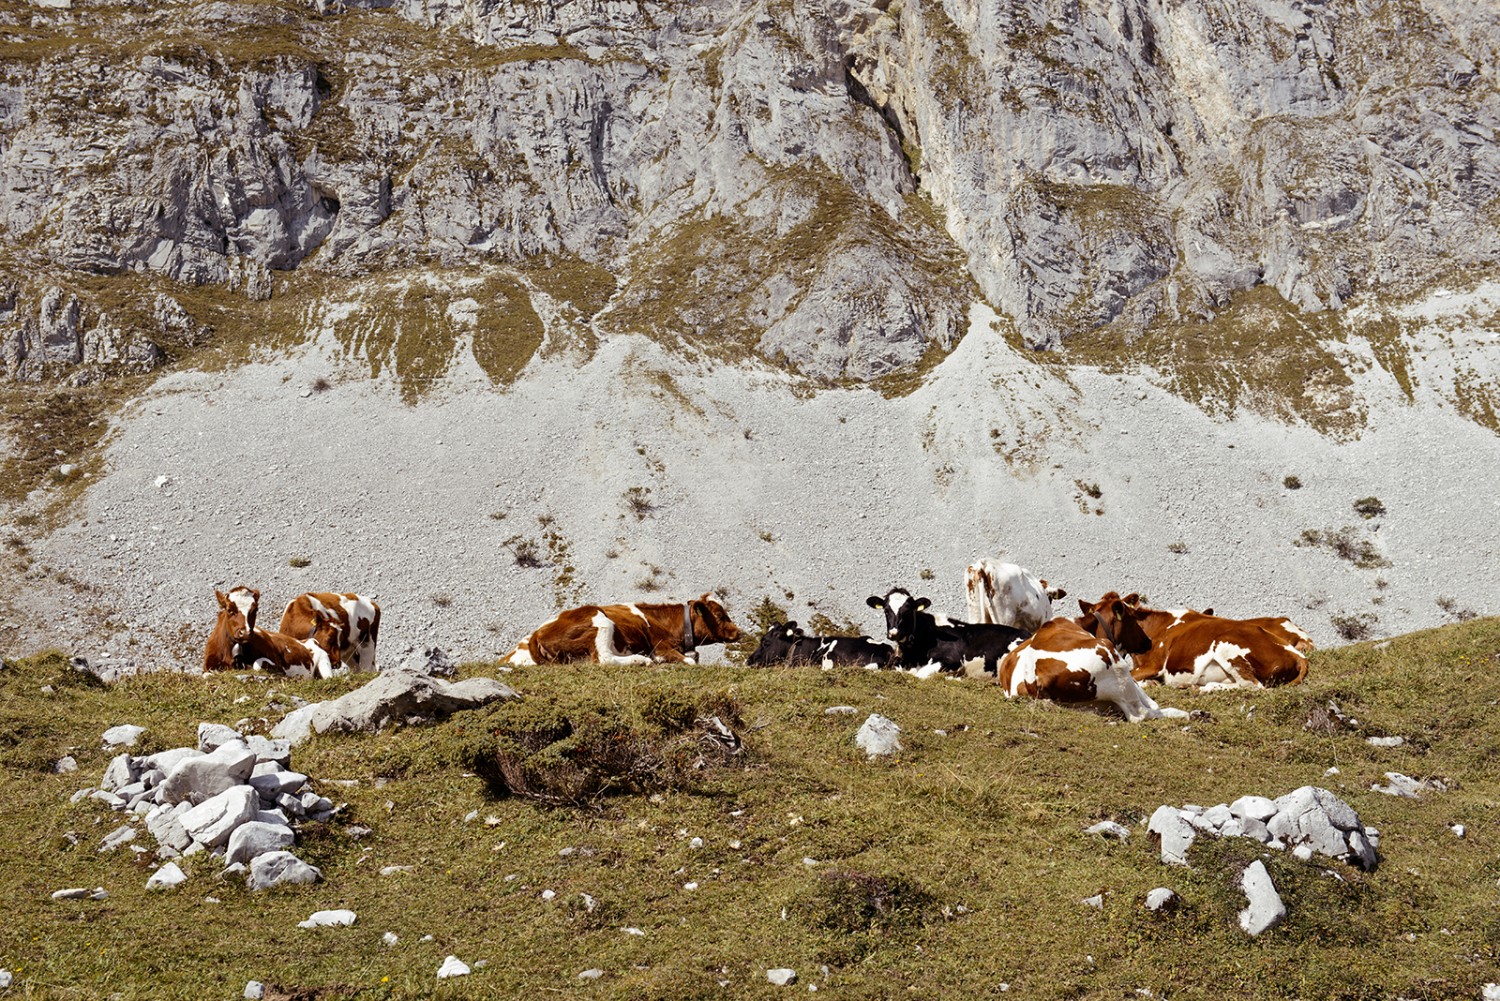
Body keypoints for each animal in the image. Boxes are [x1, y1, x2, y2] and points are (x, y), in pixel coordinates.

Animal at [202, 588, 334, 681]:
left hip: (324, 661)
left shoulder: (279, 668)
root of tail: (310, 640)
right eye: (230, 610)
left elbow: (257, 664)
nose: (245, 633)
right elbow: (207, 675)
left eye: (255, 610)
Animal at [504, 594, 738, 666]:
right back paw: (640, 660)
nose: (738, 632)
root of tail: (536, 634)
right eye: (719, 615)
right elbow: (690, 661)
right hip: (600, 620)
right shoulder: (660, 648)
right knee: (603, 659)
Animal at [990, 591, 1188, 723]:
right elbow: (1148, 700)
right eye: (1131, 617)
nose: (1148, 641)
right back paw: (1185, 714)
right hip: (1114, 663)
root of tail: (1032, 678)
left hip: (1085, 705)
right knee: (1140, 714)